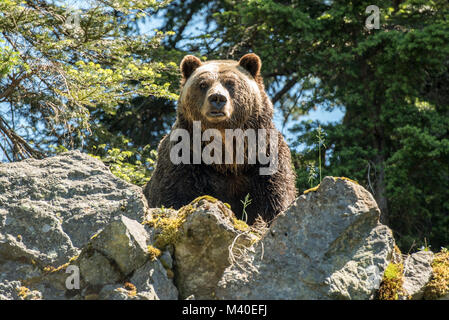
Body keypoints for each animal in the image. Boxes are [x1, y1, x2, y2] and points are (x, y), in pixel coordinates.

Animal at [144, 53, 298, 222]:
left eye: (231, 83)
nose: (217, 98)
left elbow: (274, 198)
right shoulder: (185, 156)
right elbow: (174, 194)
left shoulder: (265, 156)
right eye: (203, 84)